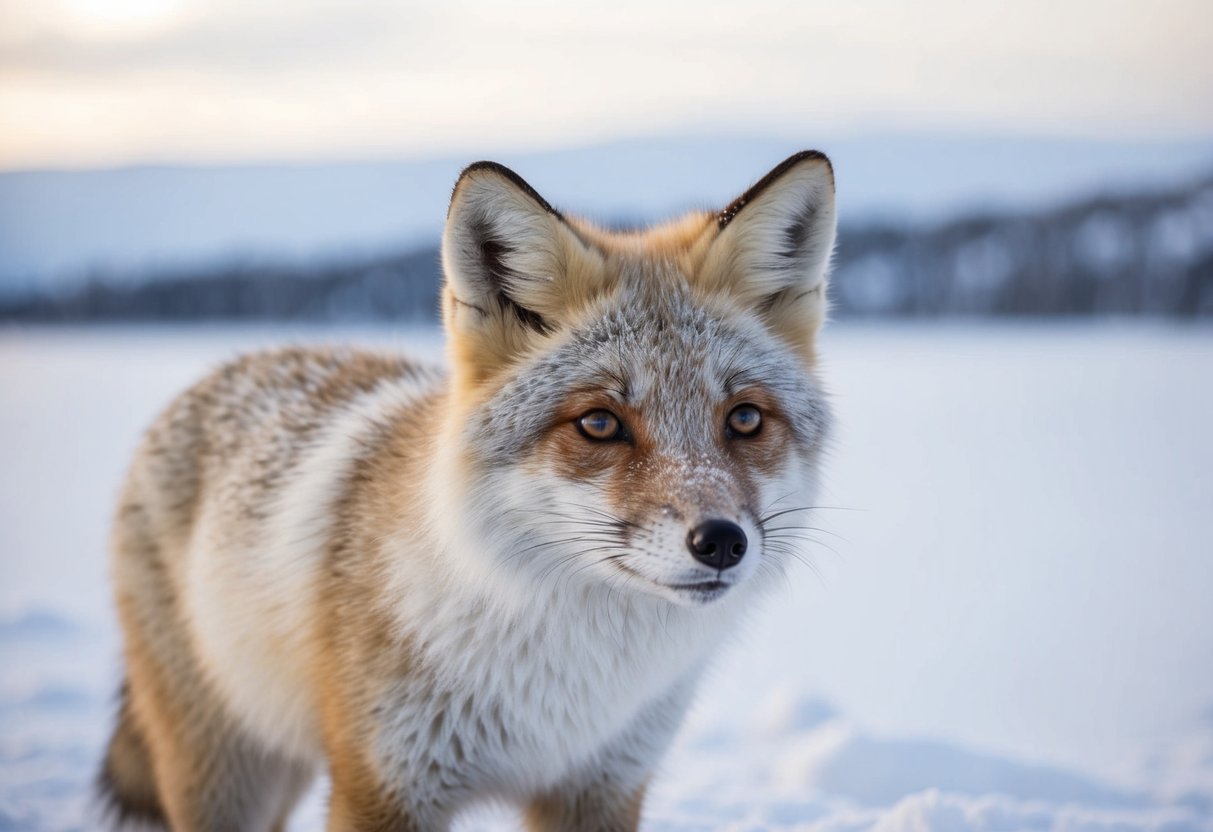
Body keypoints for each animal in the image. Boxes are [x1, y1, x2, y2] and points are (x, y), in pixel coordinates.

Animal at [98, 150, 837, 831]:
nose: (721, 542)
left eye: (744, 419)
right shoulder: (383, 786)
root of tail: (241, 360)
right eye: (599, 423)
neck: (566, 684)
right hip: (228, 777)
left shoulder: (601, 784)